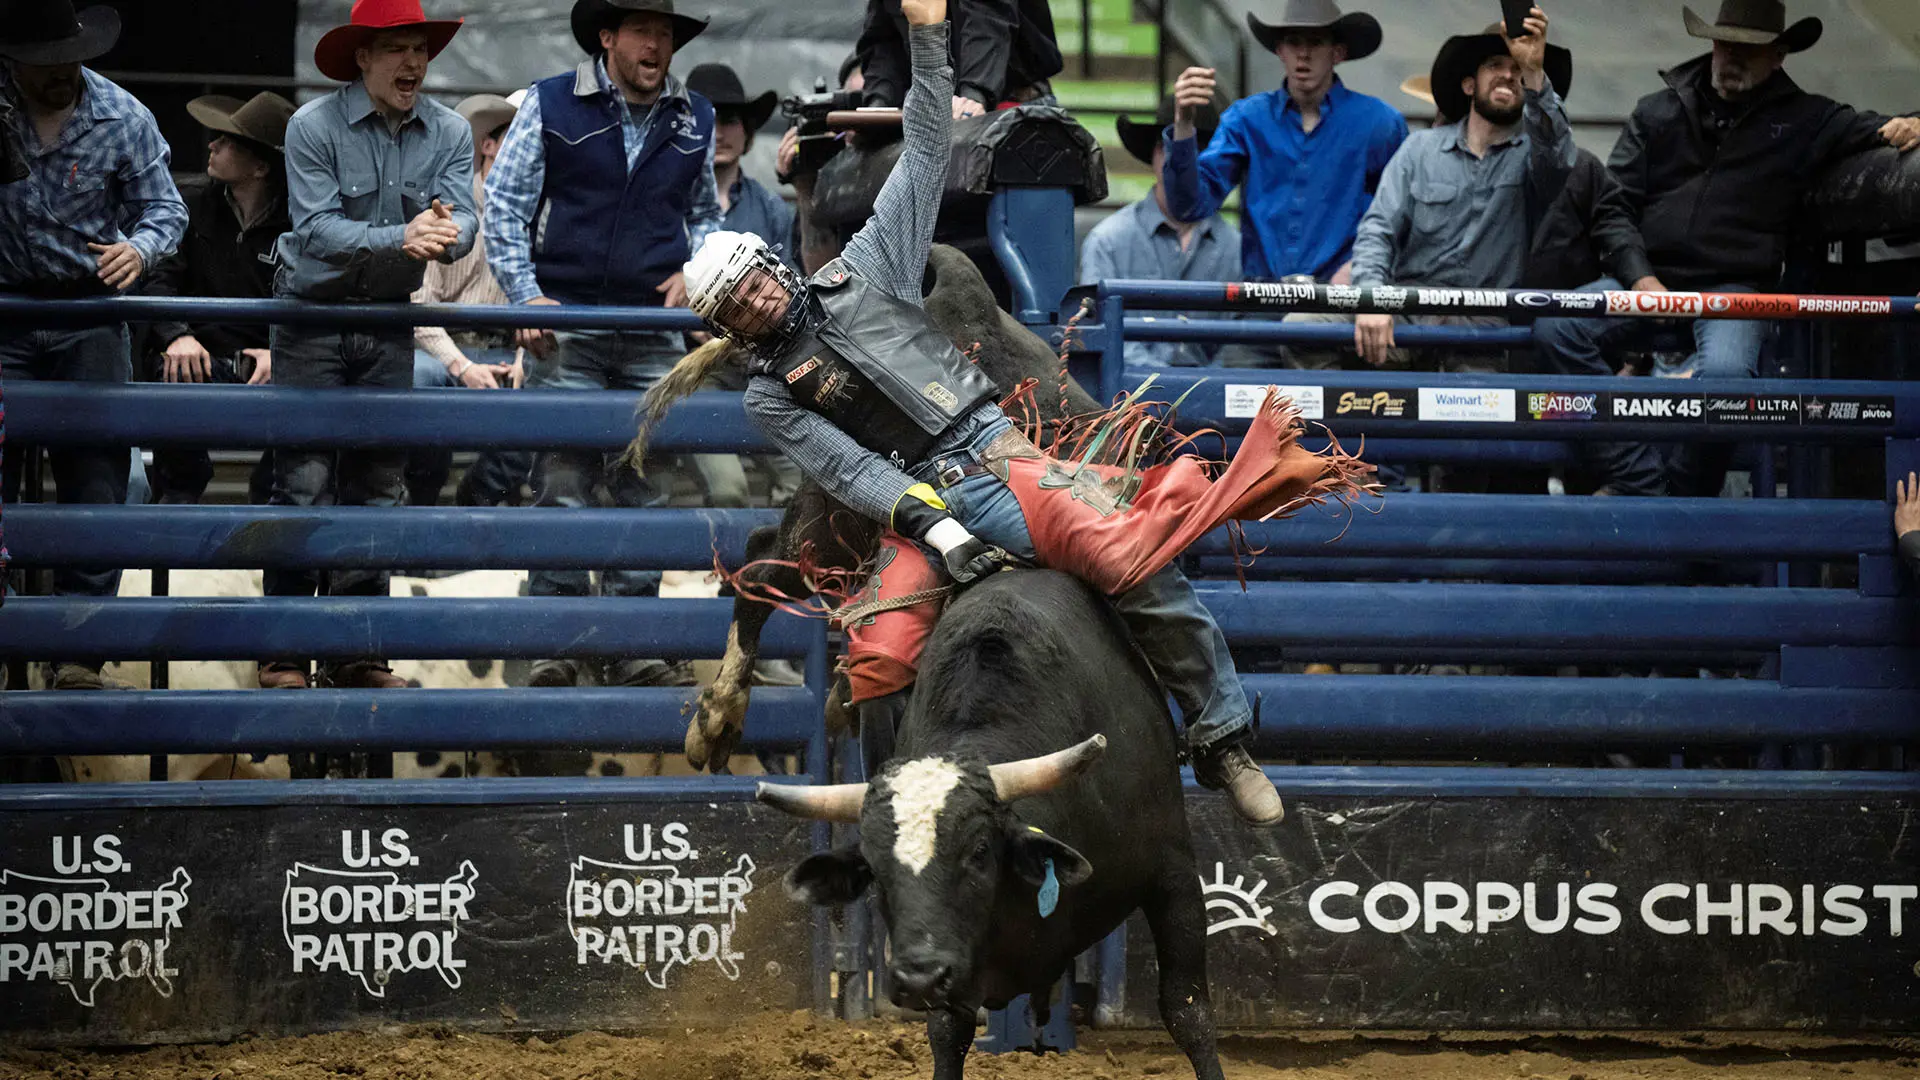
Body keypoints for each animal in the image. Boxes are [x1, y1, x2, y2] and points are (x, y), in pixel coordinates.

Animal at [756, 568, 1221, 1068]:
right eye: (875, 871)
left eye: (979, 852)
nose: (919, 978)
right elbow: (947, 1032)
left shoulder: (1172, 871)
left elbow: (1188, 1011)